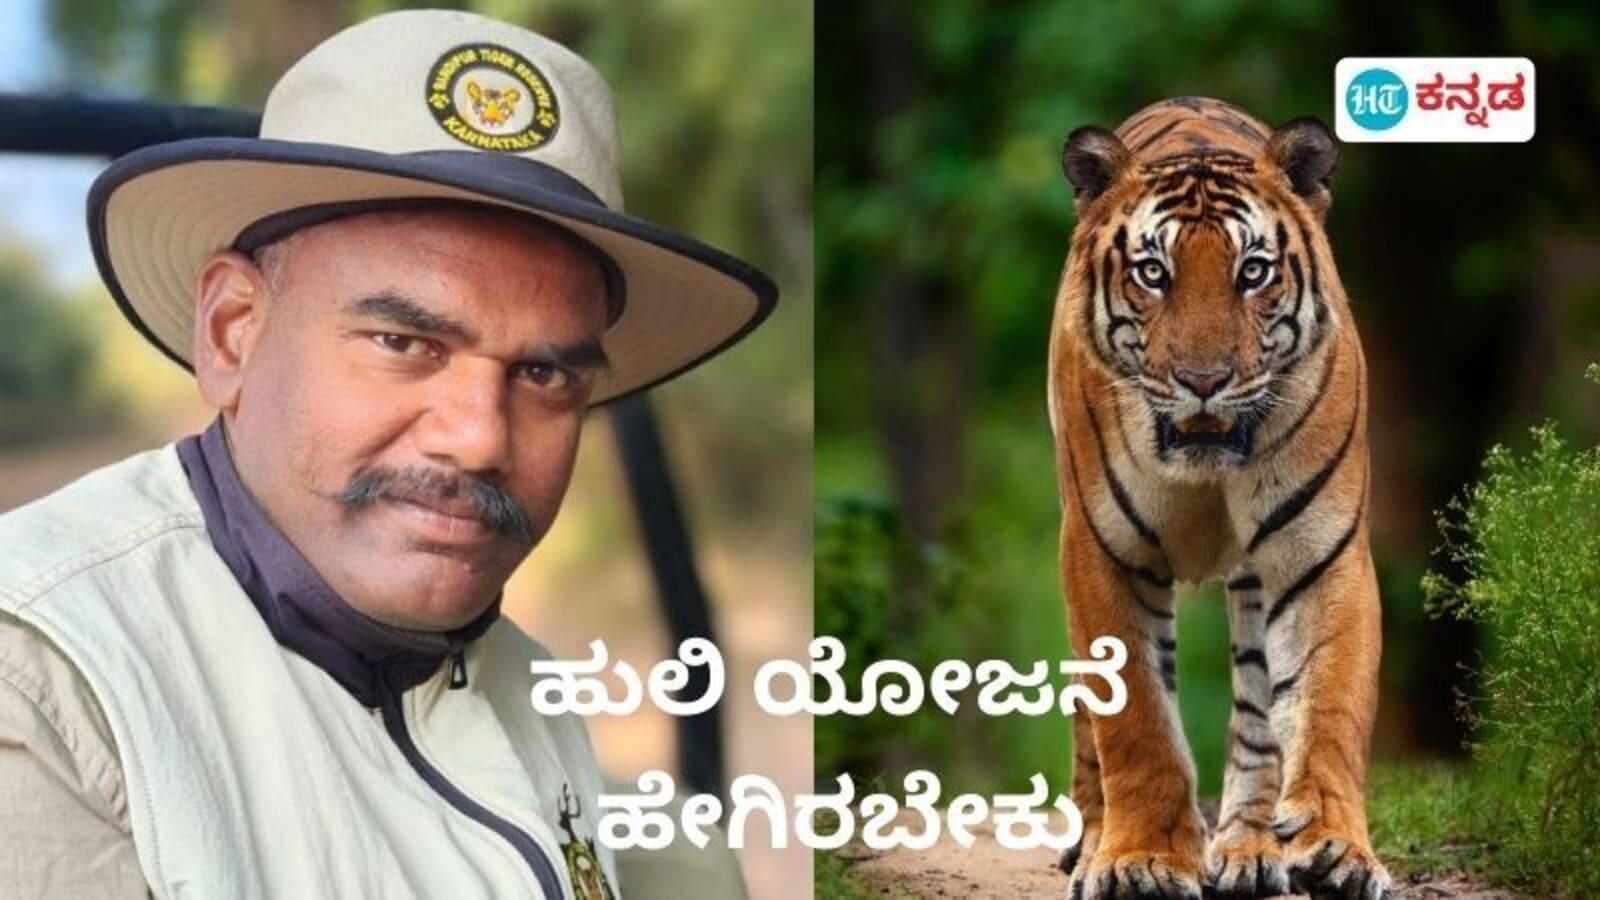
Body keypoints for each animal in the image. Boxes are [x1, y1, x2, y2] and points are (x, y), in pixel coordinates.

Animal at [1046, 97, 1387, 900]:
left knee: (1261, 716)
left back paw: (1252, 847)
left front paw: (1337, 851)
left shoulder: (1322, 553)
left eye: (1252, 272)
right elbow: (1135, 721)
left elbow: (1329, 704)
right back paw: (1095, 840)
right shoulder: (1100, 551)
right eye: (1153, 273)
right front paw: (1139, 861)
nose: (1204, 381)